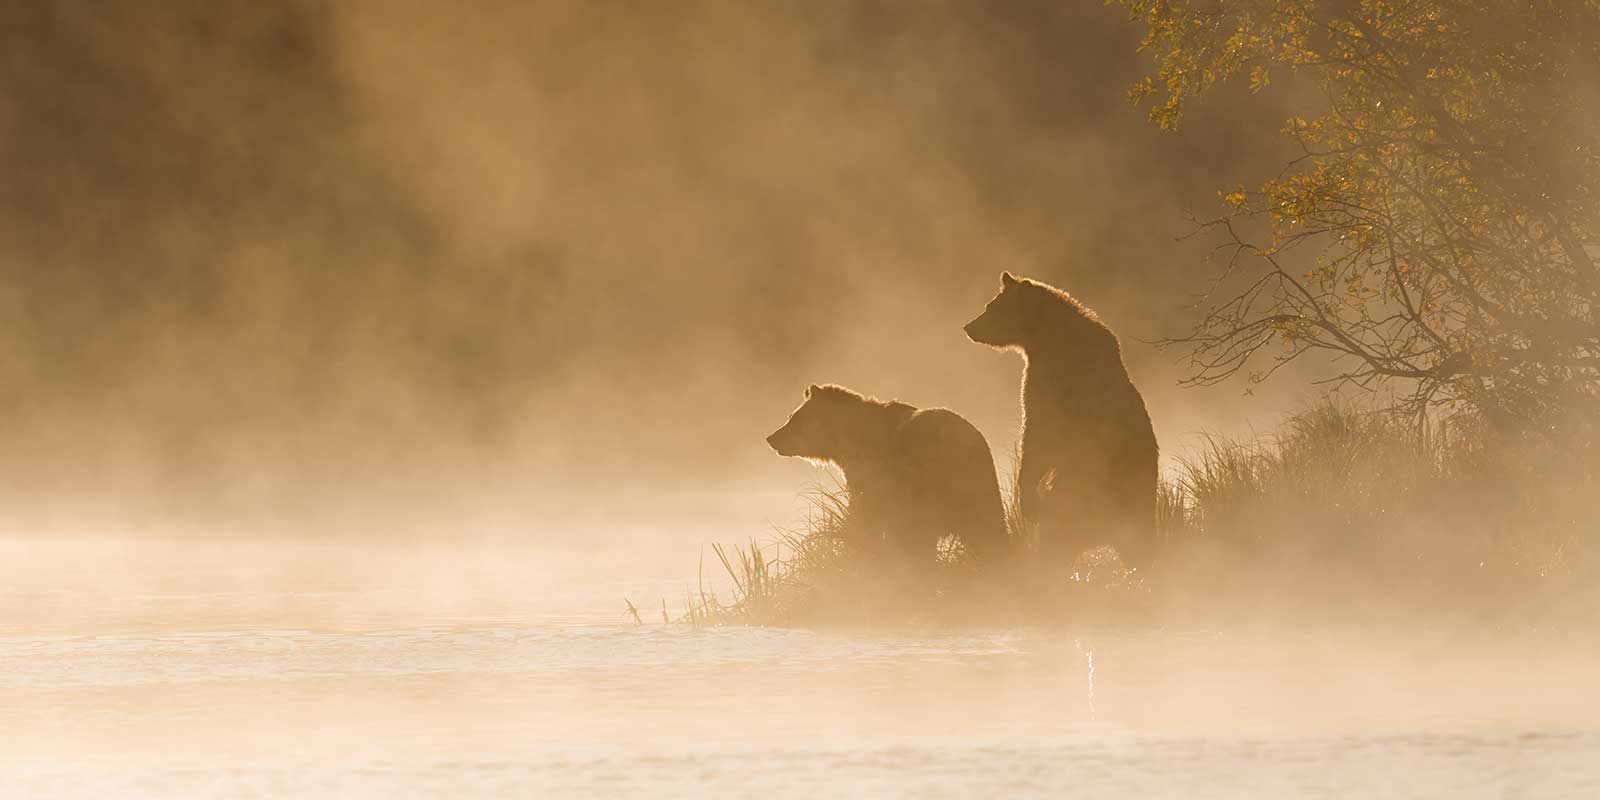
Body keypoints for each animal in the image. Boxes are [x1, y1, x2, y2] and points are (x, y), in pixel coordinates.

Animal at [963, 272, 1159, 571]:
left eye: (991, 306)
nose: (969, 326)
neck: (1043, 337)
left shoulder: (1051, 382)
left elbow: (1038, 435)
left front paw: (1026, 496)